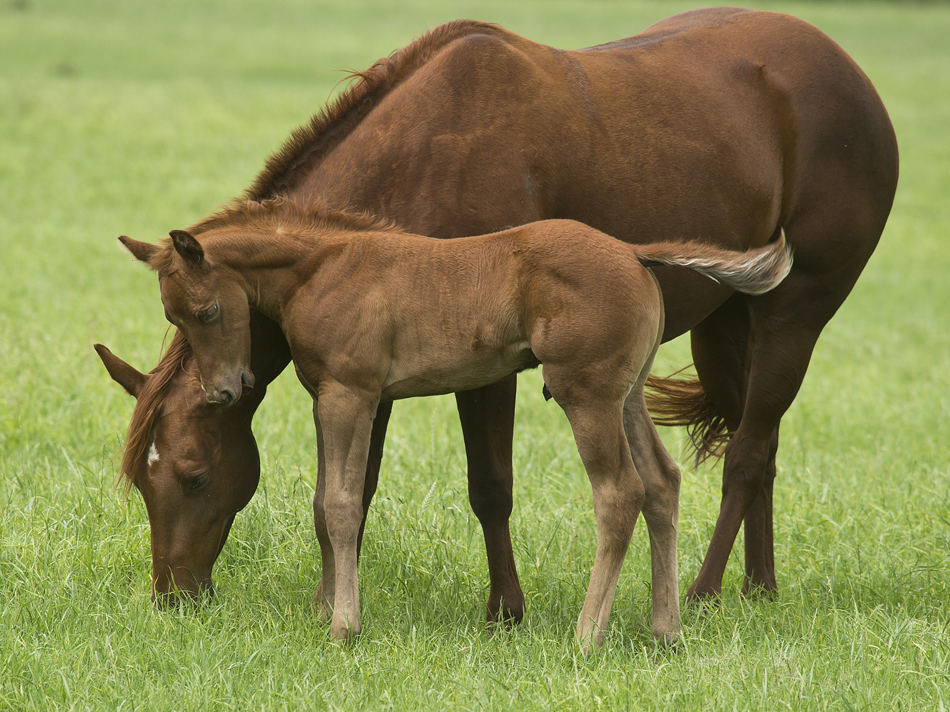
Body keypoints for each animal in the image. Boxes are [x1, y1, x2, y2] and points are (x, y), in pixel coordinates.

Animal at [118, 197, 793, 647]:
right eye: (175, 316)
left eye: (207, 310)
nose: (225, 389)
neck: (326, 267)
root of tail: (633, 252)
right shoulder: (324, 398)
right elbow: (323, 503)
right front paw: (324, 611)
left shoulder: (350, 395)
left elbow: (341, 505)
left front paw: (343, 626)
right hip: (626, 396)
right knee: (662, 483)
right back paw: (666, 631)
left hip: (587, 395)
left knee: (619, 492)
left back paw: (587, 635)